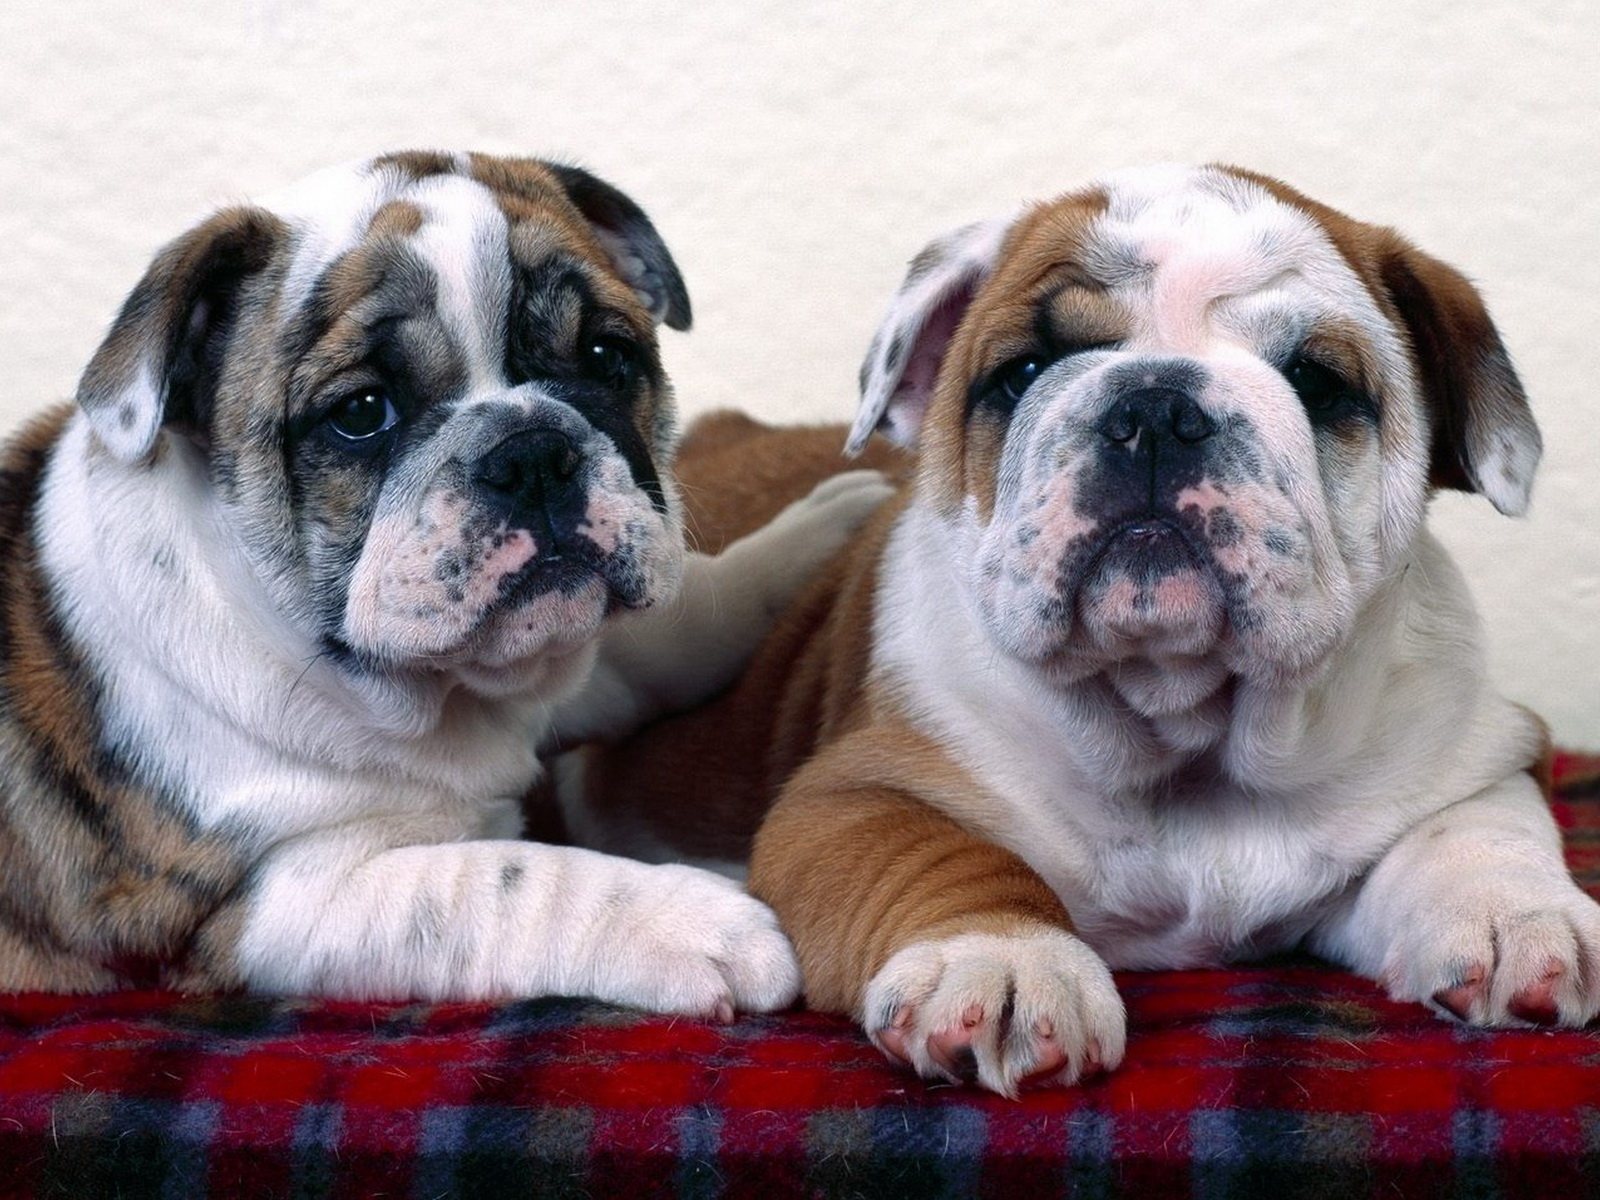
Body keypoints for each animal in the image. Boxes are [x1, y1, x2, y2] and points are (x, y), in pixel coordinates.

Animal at [0, 145, 889, 1017]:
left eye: (607, 356)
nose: (532, 452)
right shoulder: (276, 908)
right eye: (361, 413)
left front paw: (805, 539)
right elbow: (508, 881)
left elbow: (653, 647)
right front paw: (698, 920)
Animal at [569, 167, 1593, 1100]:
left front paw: (1516, 917)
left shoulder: (1472, 750)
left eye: (1316, 381)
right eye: (1022, 373)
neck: (1184, 733)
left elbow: (1476, 827)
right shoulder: (849, 796)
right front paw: (1002, 959)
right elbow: (942, 854)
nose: (1155, 407)